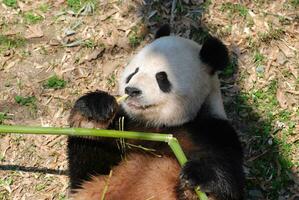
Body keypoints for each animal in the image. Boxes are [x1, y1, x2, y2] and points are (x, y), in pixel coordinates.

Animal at [68, 25, 246, 200]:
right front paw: (94, 112)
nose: (131, 90)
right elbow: (86, 172)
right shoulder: (124, 130)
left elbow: (228, 181)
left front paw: (197, 179)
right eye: (134, 72)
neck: (160, 125)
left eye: (161, 77)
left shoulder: (213, 133)